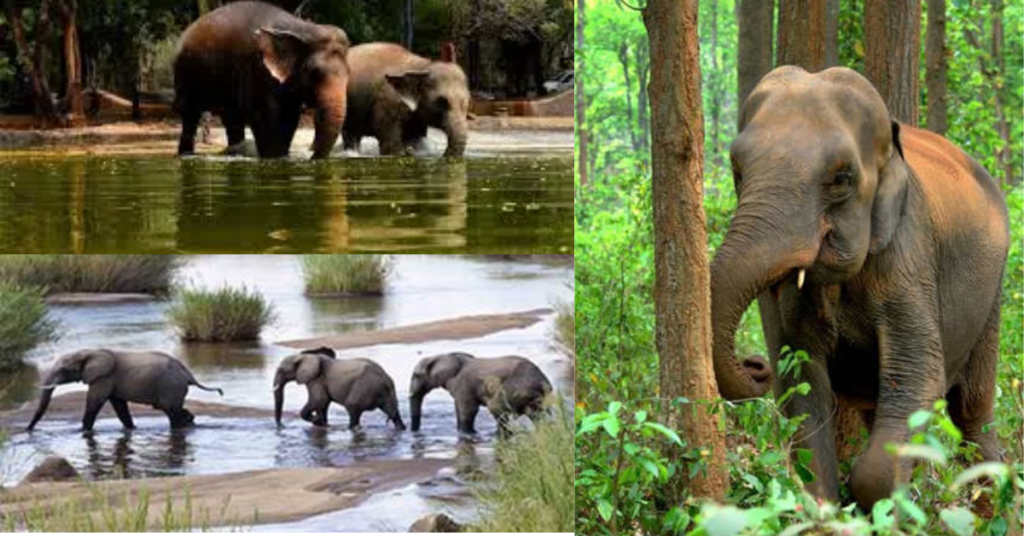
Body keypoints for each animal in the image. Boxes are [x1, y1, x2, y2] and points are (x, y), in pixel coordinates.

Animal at [25, 350, 223, 434]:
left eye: (63, 370)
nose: (28, 429)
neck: (87, 351)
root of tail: (189, 374)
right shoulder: (109, 381)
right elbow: (119, 406)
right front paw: (131, 429)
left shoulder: (103, 378)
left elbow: (94, 403)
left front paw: (82, 431)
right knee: (175, 410)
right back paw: (191, 423)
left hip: (171, 386)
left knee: (172, 412)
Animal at [174, 0, 350, 159]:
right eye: (314, 73)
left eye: (348, 75)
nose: (311, 153)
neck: (302, 28)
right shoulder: (257, 69)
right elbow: (268, 118)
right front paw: (274, 157)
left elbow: (290, 118)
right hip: (184, 73)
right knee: (190, 116)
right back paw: (186, 155)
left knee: (232, 119)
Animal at [274, 348, 405, 432]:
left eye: (281, 370)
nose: (282, 427)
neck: (304, 356)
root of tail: (385, 378)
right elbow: (323, 403)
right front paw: (323, 423)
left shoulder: (316, 379)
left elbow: (319, 400)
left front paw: (318, 421)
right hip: (385, 393)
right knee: (393, 412)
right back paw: (401, 429)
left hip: (364, 387)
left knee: (352, 407)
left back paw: (351, 429)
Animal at [407, 352, 552, 436]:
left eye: (415, 376)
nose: (414, 432)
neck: (444, 355)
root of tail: (542, 380)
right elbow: (459, 409)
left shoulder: (464, 384)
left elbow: (468, 410)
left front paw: (467, 434)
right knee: (538, 415)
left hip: (517, 385)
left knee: (496, 406)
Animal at [708, 65, 1011, 510]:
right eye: (737, 171)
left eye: (841, 178)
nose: (755, 364)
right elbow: (802, 383)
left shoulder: (907, 253)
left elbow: (921, 375)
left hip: (991, 298)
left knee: (972, 416)